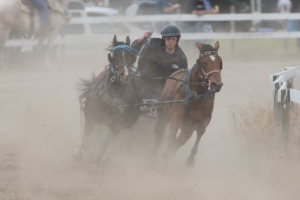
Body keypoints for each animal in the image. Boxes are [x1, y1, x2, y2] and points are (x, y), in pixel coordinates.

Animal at [73, 34, 142, 167]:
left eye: (130, 56)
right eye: (115, 55)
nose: (125, 75)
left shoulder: (116, 124)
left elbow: (105, 144)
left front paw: (97, 163)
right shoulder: (90, 114)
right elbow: (86, 137)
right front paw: (78, 152)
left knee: (110, 142)